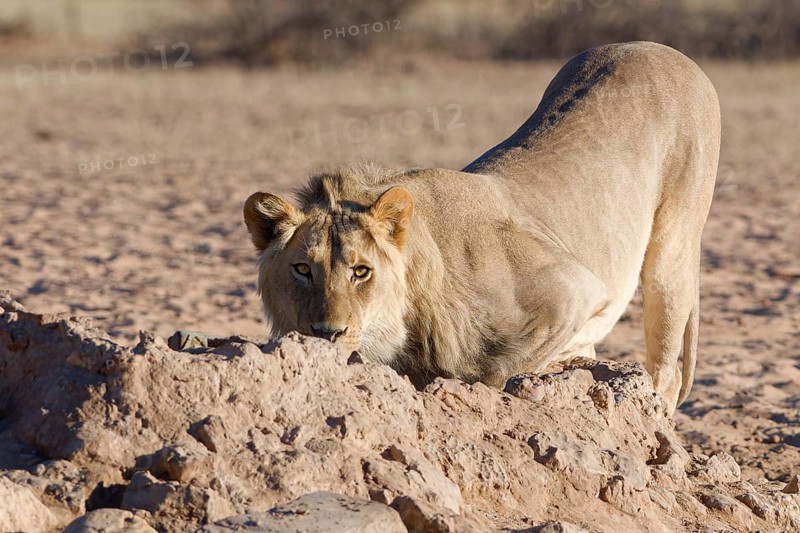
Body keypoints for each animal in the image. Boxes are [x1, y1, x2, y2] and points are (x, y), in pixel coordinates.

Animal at [243, 42, 721, 413]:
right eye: (302, 269)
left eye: (361, 272)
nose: (326, 334)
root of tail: (662, 49)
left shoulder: (575, 290)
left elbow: (497, 371)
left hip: (671, 255)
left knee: (665, 370)